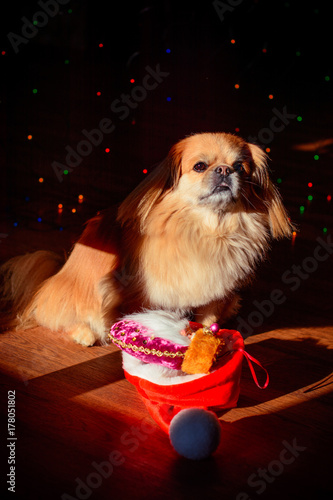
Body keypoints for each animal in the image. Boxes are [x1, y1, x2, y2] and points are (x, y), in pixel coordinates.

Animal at [0, 132, 290, 344]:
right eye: (199, 166)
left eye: (240, 167)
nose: (224, 170)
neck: (208, 229)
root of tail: (52, 278)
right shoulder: (141, 296)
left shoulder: (214, 295)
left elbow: (208, 319)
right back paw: (85, 333)